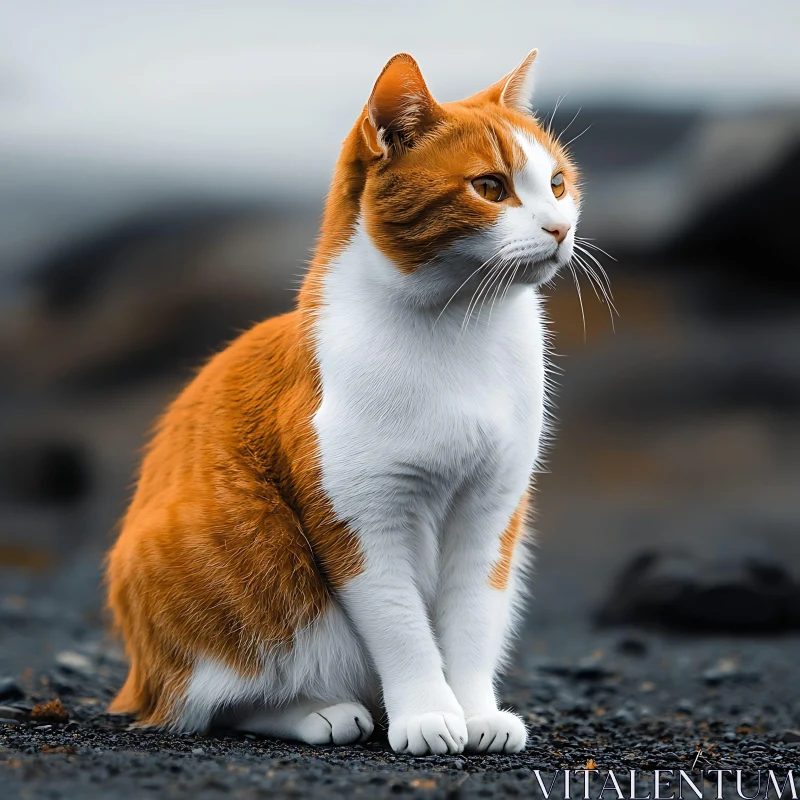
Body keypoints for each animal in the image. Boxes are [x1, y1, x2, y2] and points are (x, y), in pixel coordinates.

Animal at [106, 51, 580, 756]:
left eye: (556, 183)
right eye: (491, 188)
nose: (560, 227)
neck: (462, 331)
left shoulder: (492, 509)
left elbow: (471, 621)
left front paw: (474, 711)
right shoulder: (361, 517)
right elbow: (403, 628)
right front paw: (428, 714)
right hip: (231, 582)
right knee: (216, 702)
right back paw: (320, 712)